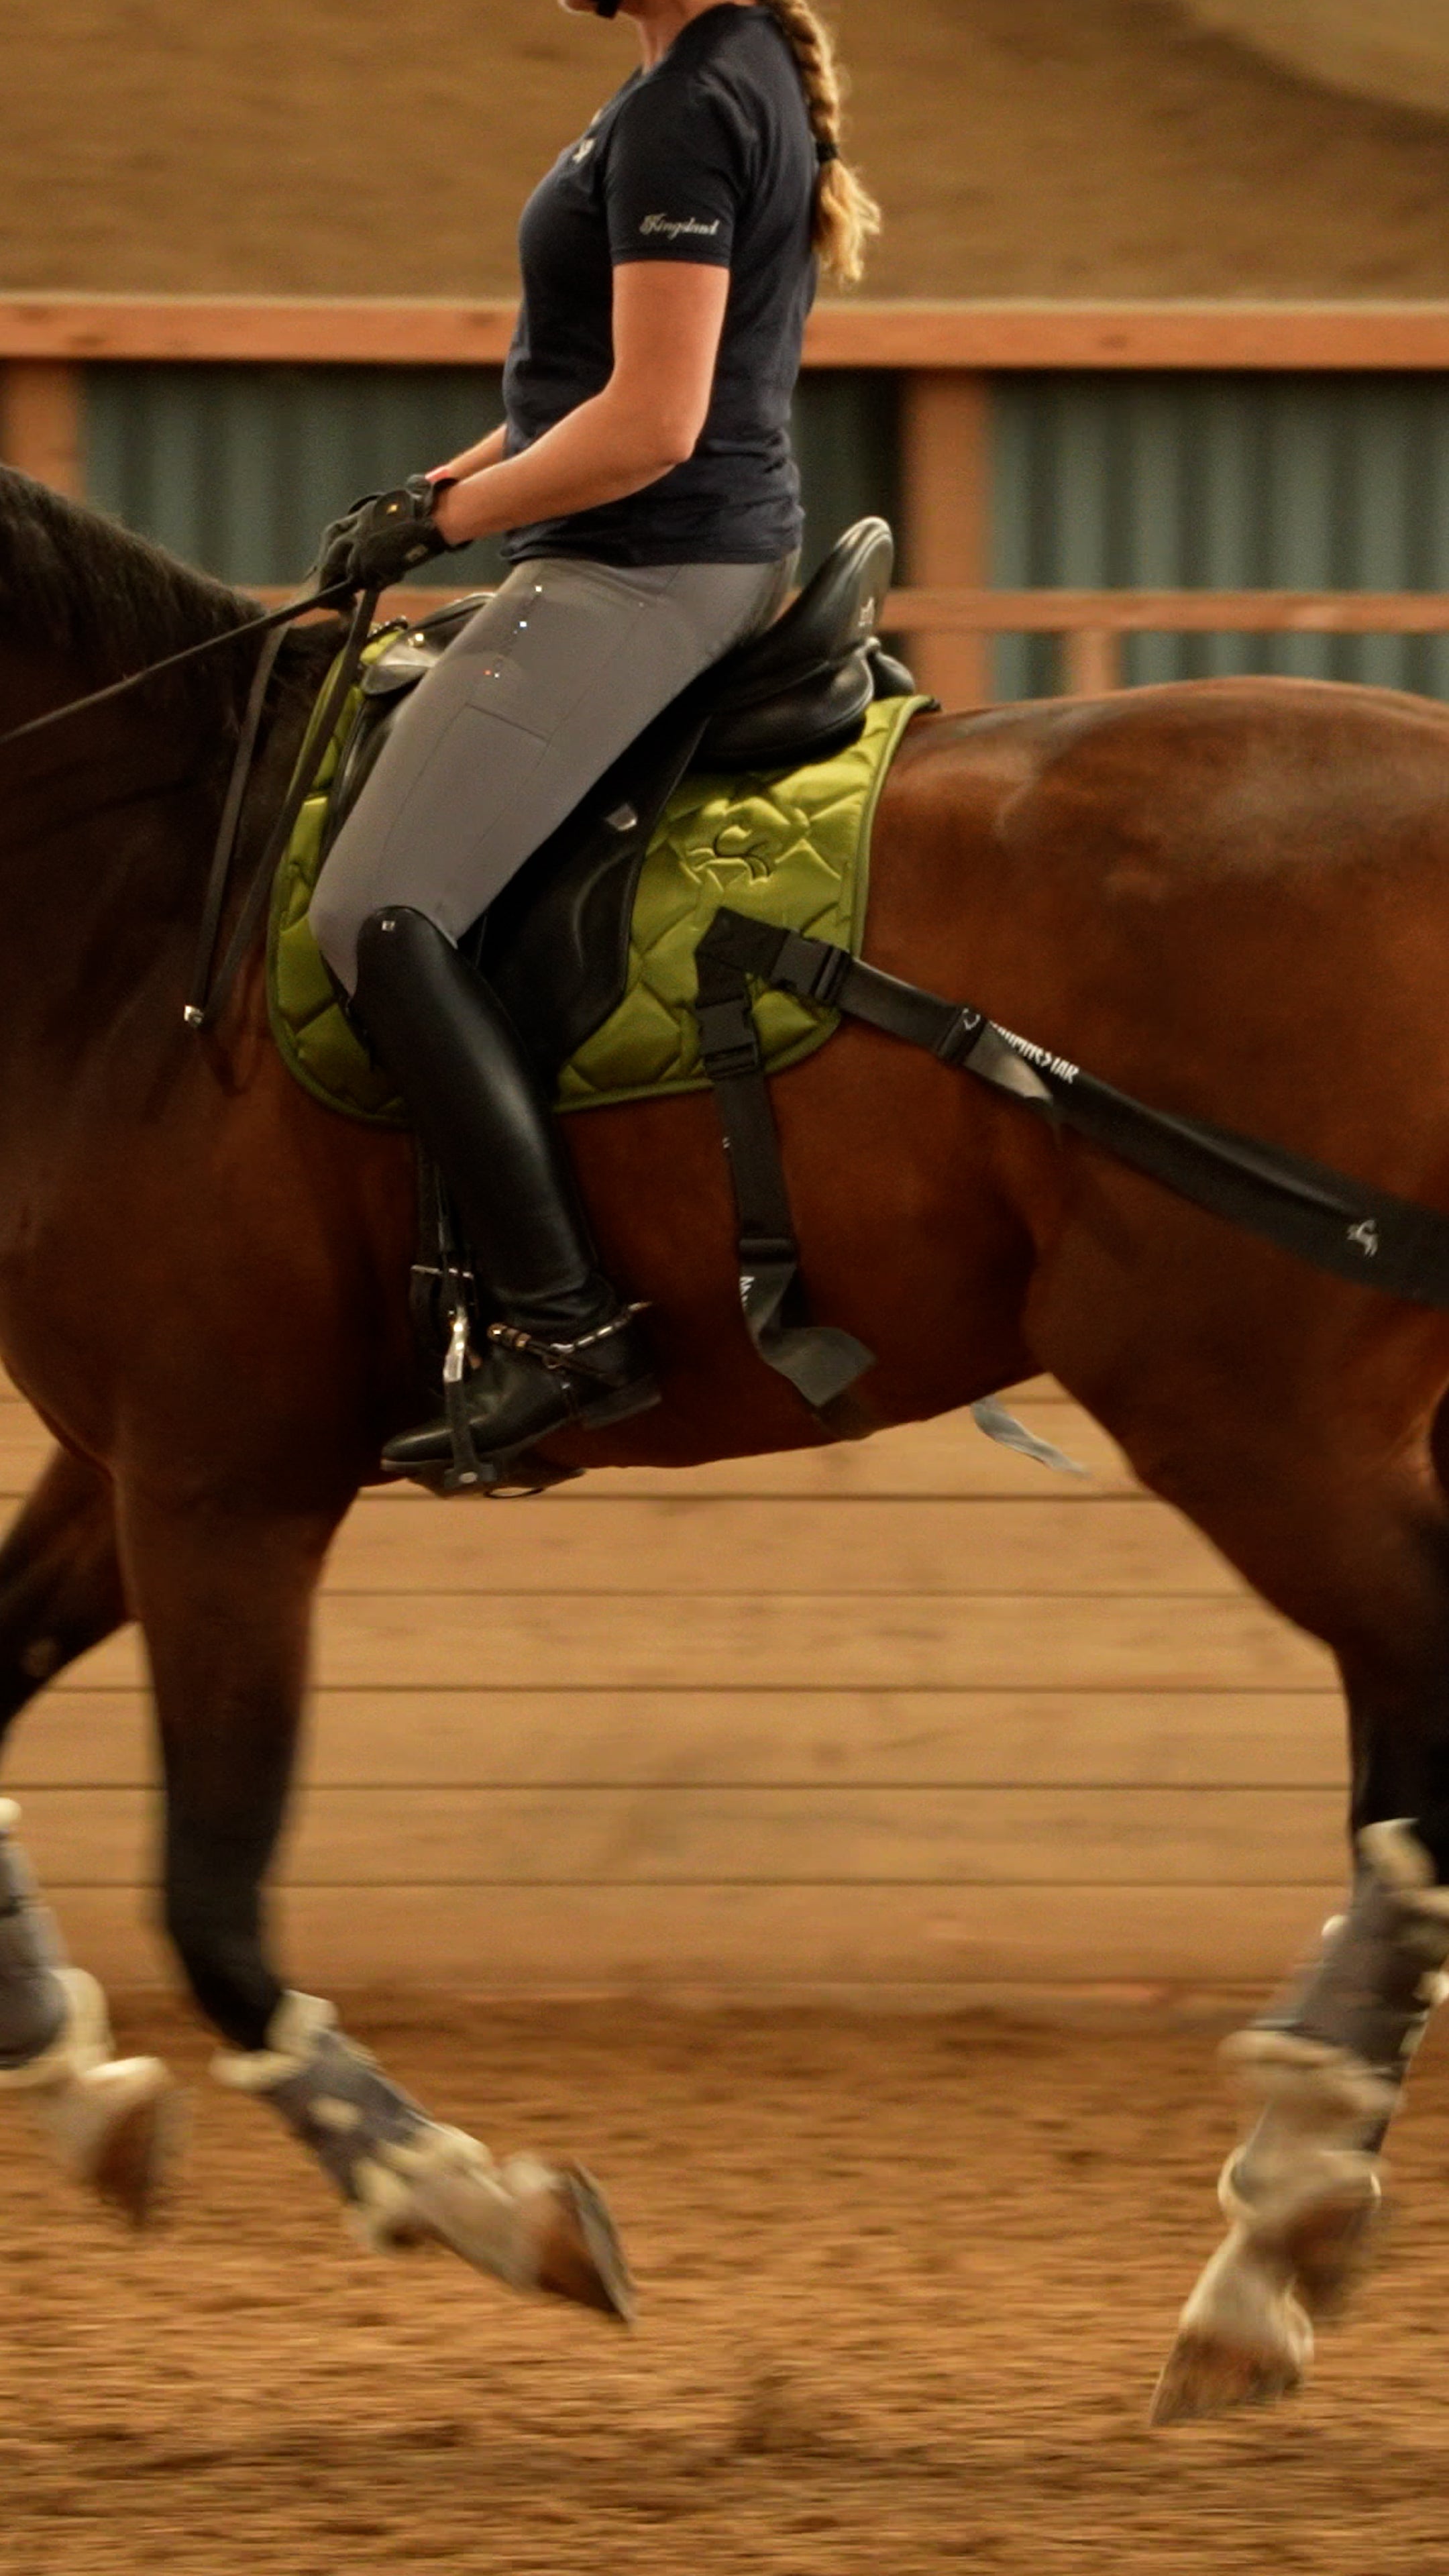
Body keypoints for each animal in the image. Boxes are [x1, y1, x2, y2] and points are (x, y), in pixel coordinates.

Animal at [4, 461, 1449, 2413]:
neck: (145, 912)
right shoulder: (119, 1469)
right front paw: (88, 2094)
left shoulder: (220, 1484)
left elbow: (215, 1914)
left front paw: (487, 2207)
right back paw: (1282, 2220)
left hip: (1246, 1409)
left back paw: (1278, 2217)